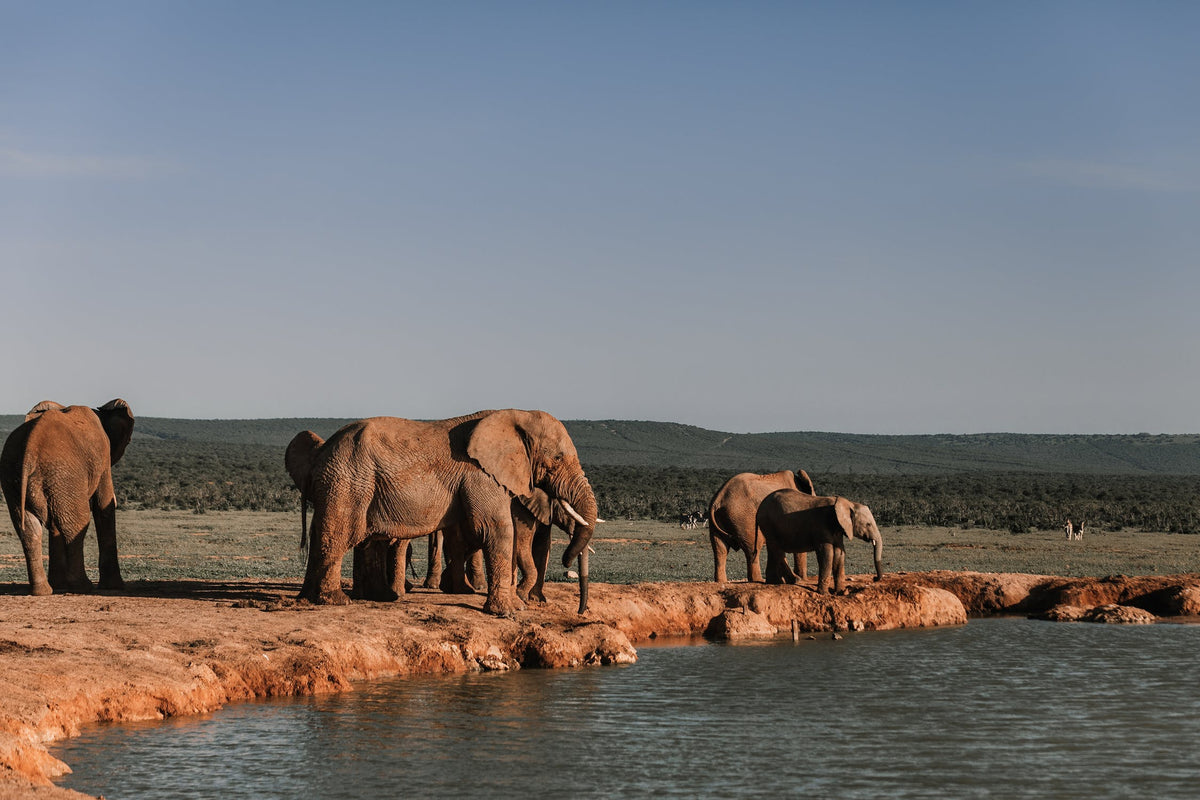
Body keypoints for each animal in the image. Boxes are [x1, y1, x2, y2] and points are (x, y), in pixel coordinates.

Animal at [0, 399, 135, 595]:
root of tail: (30, 450)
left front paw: (59, 585)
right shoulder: (103, 457)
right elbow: (103, 506)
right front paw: (114, 587)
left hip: (18, 476)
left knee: (28, 529)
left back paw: (43, 591)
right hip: (63, 475)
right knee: (76, 524)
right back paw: (83, 587)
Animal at [296, 409, 598, 615]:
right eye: (557, 458)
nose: (581, 612)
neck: (515, 414)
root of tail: (322, 450)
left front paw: (516, 606)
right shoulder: (481, 474)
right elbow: (497, 528)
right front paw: (508, 611)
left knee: (341, 535)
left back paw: (319, 599)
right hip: (348, 480)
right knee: (339, 534)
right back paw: (335, 600)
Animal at [755, 488, 884, 595]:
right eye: (868, 524)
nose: (875, 578)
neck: (847, 503)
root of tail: (759, 508)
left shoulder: (839, 529)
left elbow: (839, 554)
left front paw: (841, 592)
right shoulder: (821, 526)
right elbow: (827, 554)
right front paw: (825, 594)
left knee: (773, 549)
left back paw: (774, 582)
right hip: (768, 523)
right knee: (777, 549)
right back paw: (796, 580)